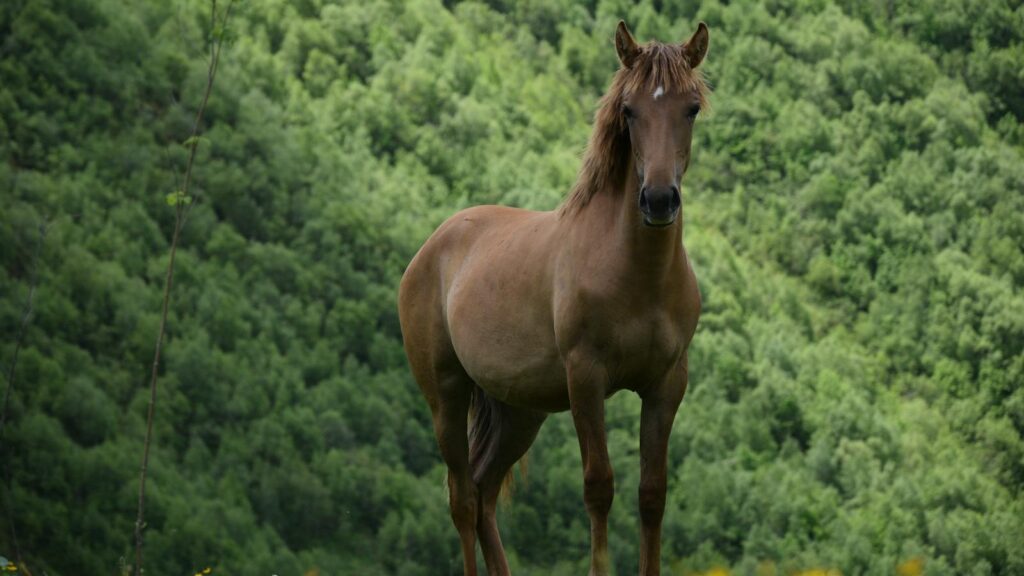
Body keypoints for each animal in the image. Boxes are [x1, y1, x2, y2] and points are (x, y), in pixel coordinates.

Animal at [398, 20, 709, 576]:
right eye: (629, 110)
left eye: (690, 107)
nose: (657, 200)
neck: (639, 275)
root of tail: (432, 249)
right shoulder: (586, 378)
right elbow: (599, 487)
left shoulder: (667, 384)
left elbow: (652, 494)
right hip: (447, 396)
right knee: (461, 497)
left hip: (519, 410)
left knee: (484, 491)